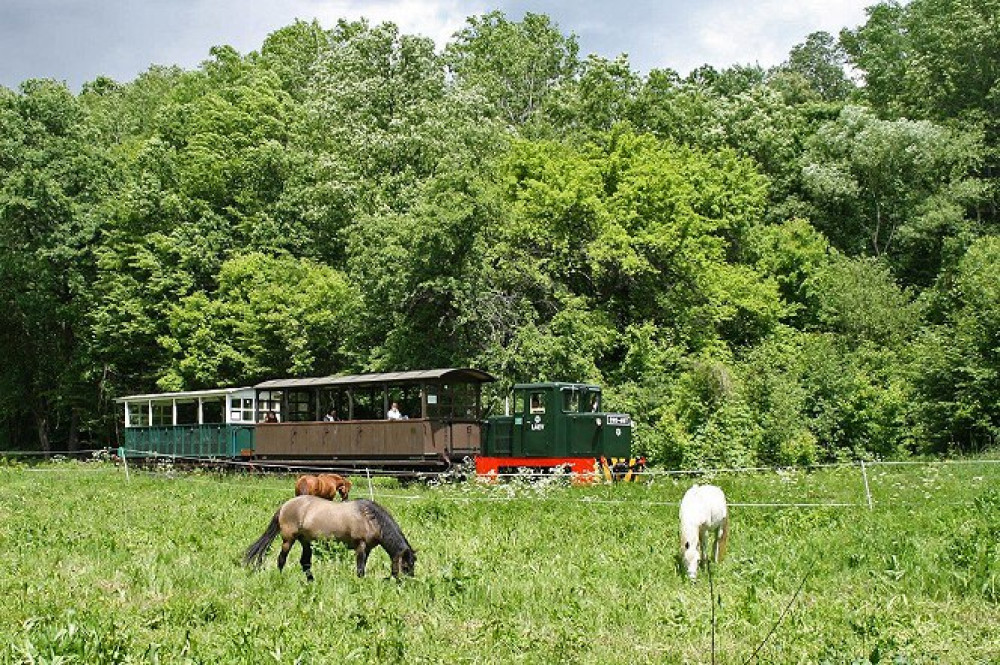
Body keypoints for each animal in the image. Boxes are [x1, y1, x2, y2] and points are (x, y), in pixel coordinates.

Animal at [244, 492, 416, 580]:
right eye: (405, 567)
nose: (408, 584)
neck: (369, 518)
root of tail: (284, 506)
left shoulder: (367, 549)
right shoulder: (360, 546)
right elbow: (360, 569)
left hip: (306, 542)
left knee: (305, 562)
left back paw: (311, 581)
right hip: (288, 539)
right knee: (281, 559)